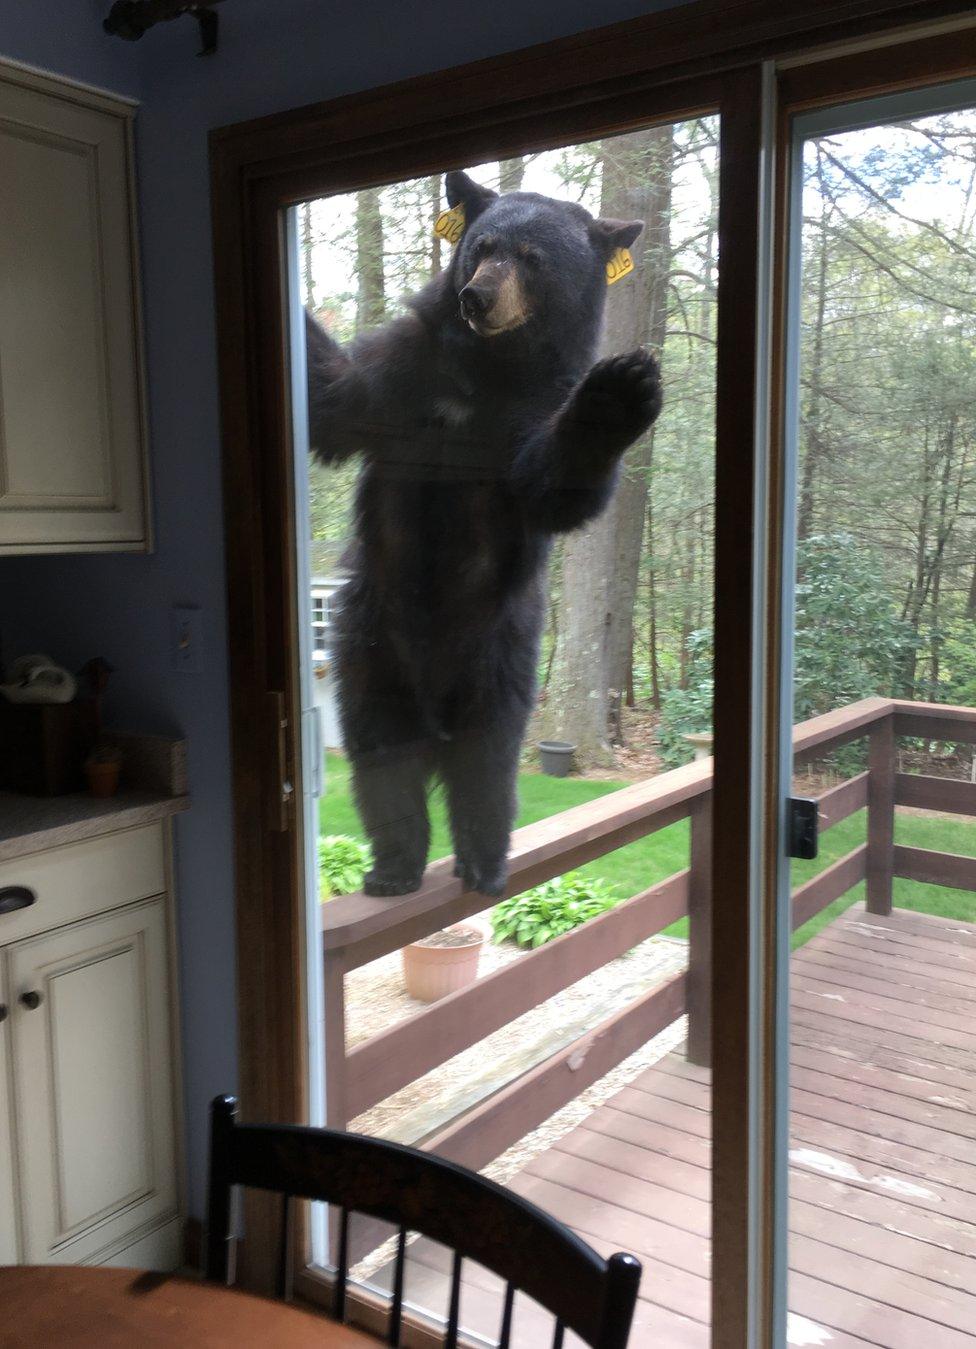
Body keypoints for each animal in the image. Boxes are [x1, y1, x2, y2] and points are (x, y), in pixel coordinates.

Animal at [307, 174, 664, 901]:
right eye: (481, 247)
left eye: (532, 257)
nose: (477, 295)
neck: (488, 369)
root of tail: (434, 706)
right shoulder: (405, 371)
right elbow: (339, 399)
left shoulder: (534, 407)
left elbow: (551, 485)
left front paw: (618, 391)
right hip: (370, 644)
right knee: (380, 755)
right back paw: (393, 865)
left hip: (501, 654)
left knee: (488, 763)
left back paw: (483, 860)